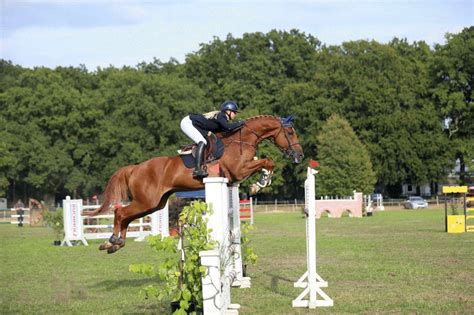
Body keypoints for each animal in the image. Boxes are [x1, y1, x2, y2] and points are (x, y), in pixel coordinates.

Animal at [91, 116, 304, 254]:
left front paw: (263, 181)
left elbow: (268, 163)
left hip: (154, 204)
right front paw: (259, 184)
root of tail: (135, 168)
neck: (241, 140)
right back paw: (112, 241)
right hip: (146, 201)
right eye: (290, 132)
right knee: (120, 213)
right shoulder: (239, 171)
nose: (300, 155)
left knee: (126, 217)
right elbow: (268, 161)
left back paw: (114, 244)